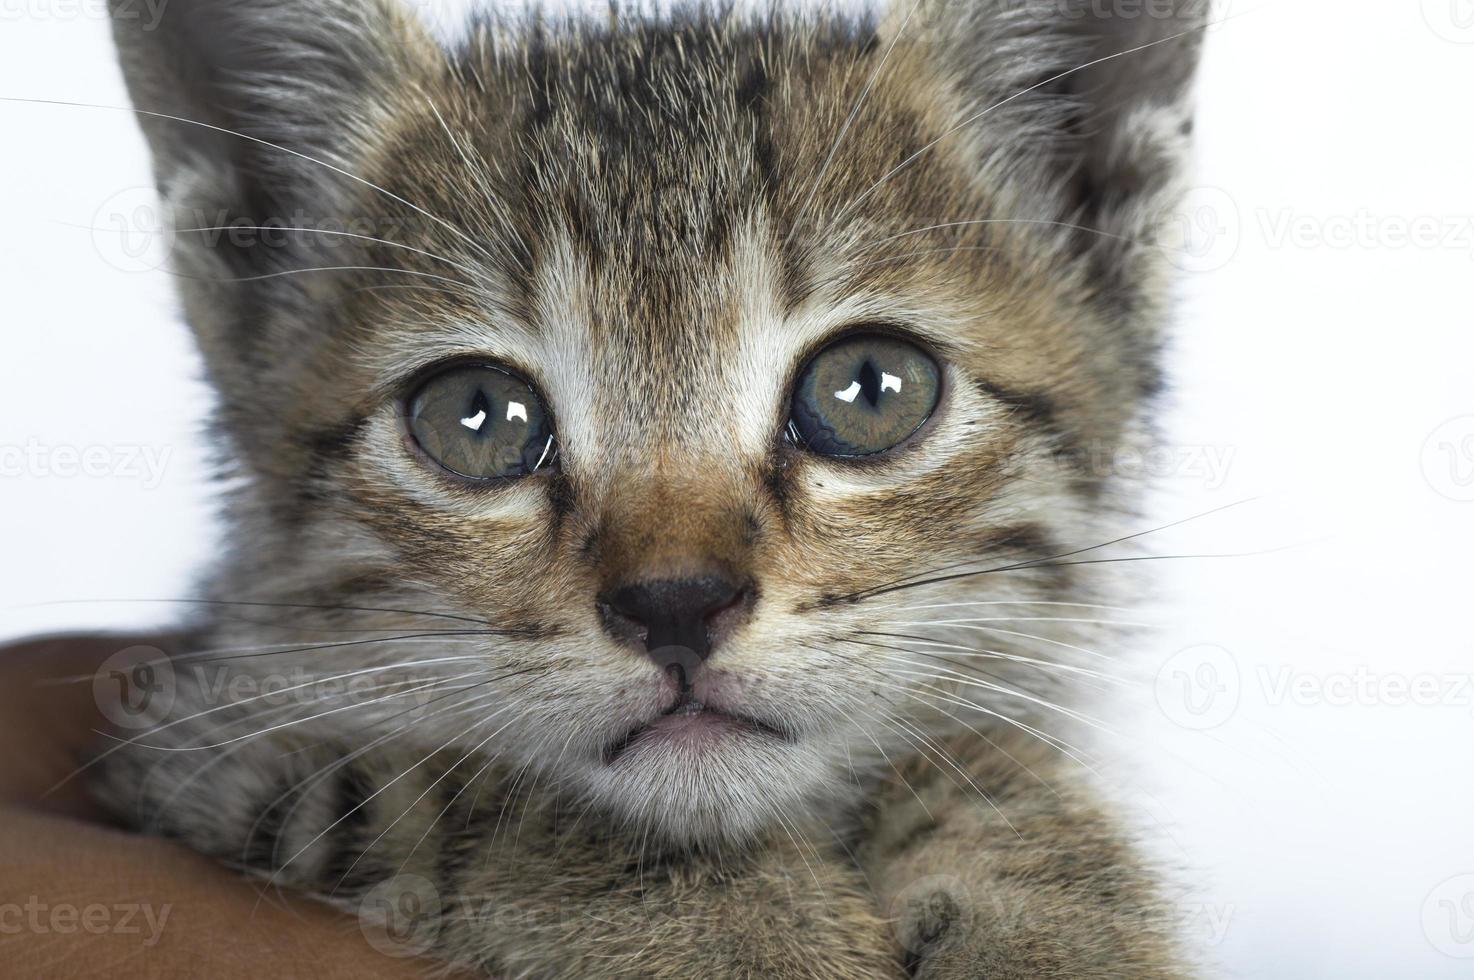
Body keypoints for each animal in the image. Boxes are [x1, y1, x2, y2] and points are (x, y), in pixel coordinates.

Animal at [95, 0, 1208, 972]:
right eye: (475, 415)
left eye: (869, 389)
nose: (676, 603)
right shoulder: (203, 741)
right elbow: (473, 795)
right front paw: (747, 931)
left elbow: (985, 762)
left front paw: (1054, 917)